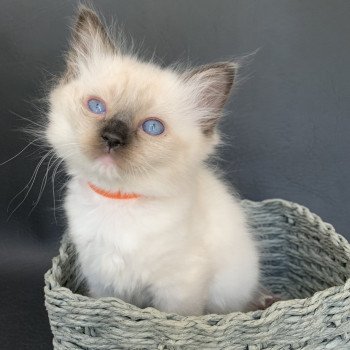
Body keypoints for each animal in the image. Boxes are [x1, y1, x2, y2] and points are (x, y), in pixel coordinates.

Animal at [46, 6, 258, 316]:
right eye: (96, 106)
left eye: (153, 127)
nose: (112, 138)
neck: (117, 204)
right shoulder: (102, 284)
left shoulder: (179, 287)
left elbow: (174, 316)